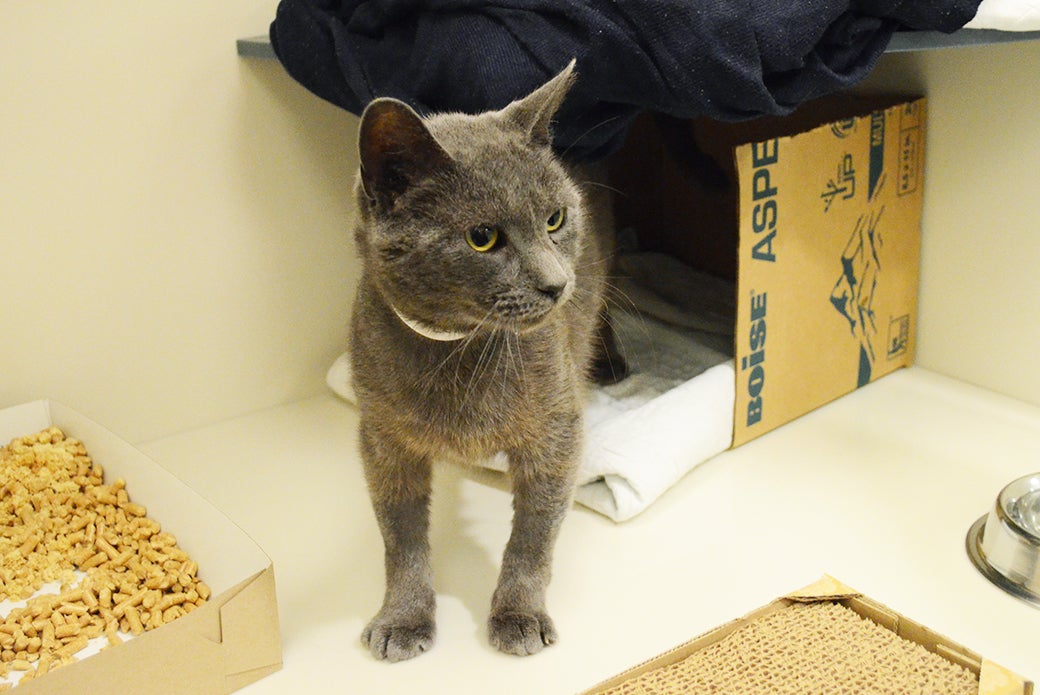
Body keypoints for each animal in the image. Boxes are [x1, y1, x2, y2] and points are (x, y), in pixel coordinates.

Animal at [348, 60, 622, 661]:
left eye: (554, 219)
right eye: (481, 238)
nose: (556, 285)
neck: (463, 350)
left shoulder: (556, 431)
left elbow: (534, 536)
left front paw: (518, 616)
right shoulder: (382, 439)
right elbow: (399, 536)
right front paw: (403, 618)